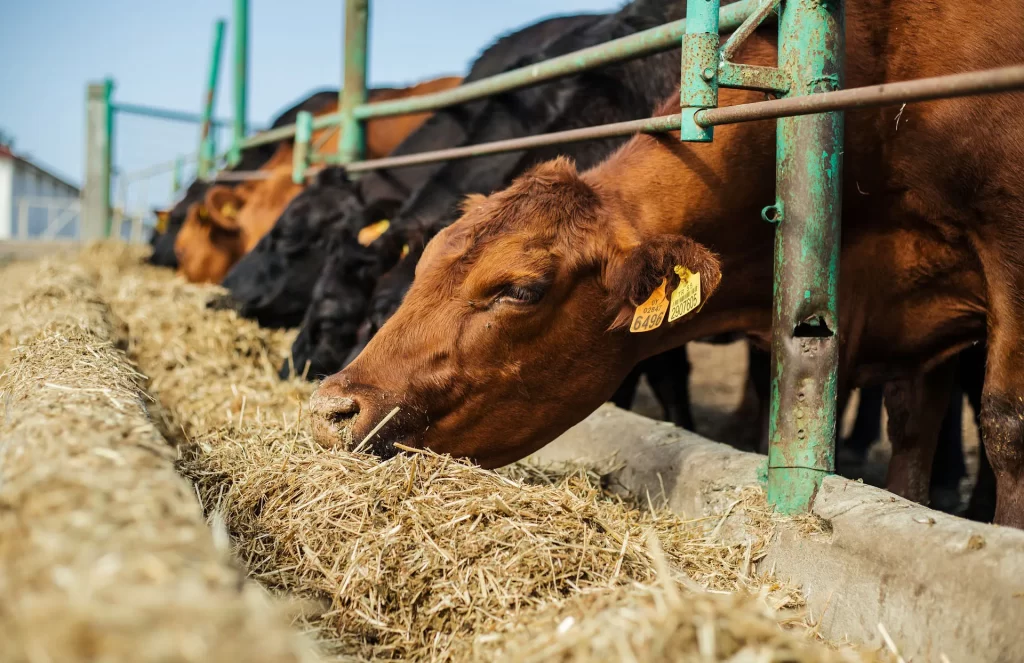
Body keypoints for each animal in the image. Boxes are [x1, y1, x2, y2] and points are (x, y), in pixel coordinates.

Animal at [307, 0, 1024, 528]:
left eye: (520, 289)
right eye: (422, 269)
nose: (330, 409)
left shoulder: (1004, 239)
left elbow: (1004, 422)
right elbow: (912, 433)